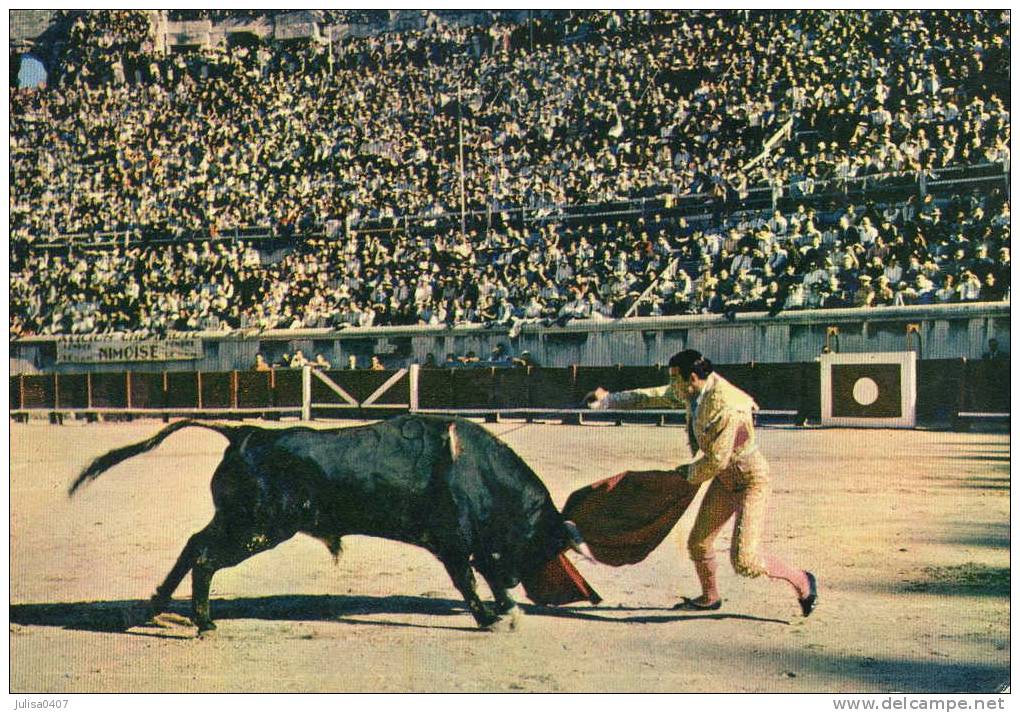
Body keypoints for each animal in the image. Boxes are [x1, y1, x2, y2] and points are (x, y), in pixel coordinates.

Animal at [69, 416, 591, 632]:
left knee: (193, 544)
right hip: (259, 528)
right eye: (546, 544)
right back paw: (203, 621)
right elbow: (468, 579)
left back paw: (158, 606)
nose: (522, 584)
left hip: (238, 520)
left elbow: (483, 572)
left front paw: (507, 609)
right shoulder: (452, 541)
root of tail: (245, 433)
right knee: (205, 558)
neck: (476, 468)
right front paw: (489, 617)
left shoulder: (475, 544)